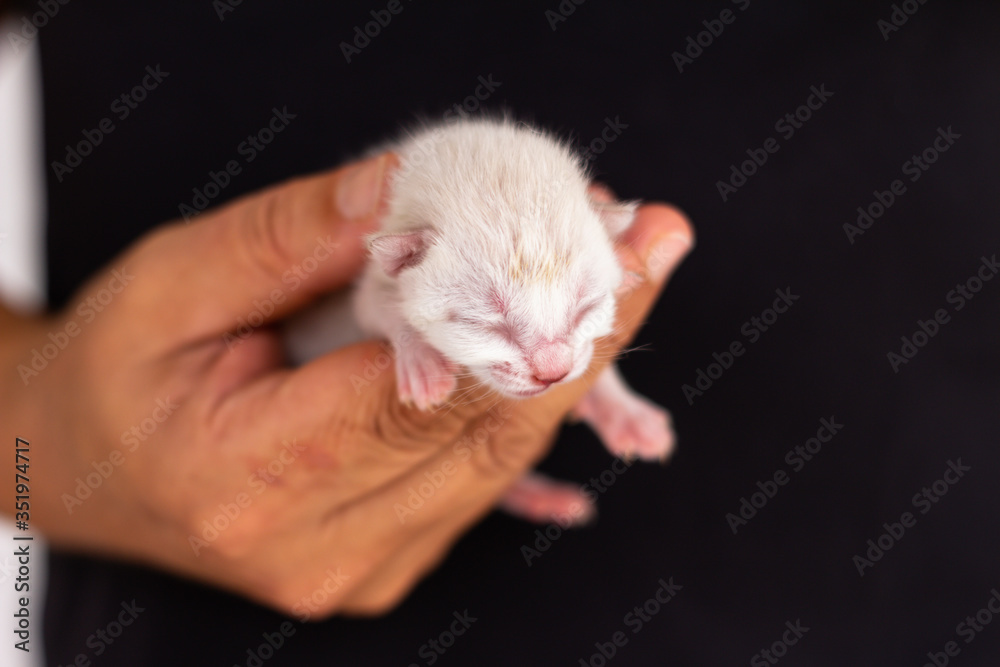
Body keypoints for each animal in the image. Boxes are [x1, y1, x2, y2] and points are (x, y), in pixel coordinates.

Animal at [286, 116, 676, 528]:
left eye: (586, 308)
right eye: (487, 325)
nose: (553, 373)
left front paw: (625, 411)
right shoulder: (361, 289)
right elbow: (380, 306)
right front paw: (423, 362)